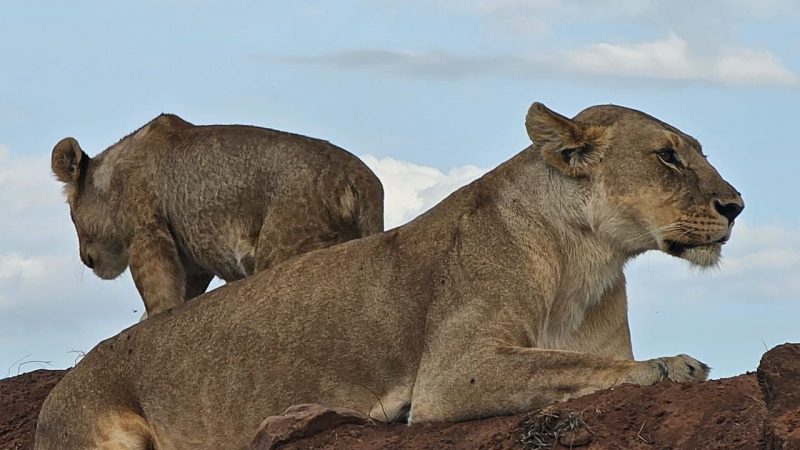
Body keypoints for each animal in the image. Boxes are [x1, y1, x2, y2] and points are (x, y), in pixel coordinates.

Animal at [51, 114, 384, 316]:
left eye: (71, 215)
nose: (85, 259)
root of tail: (360, 181)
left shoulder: (147, 230)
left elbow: (158, 295)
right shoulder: (191, 262)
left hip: (283, 244)